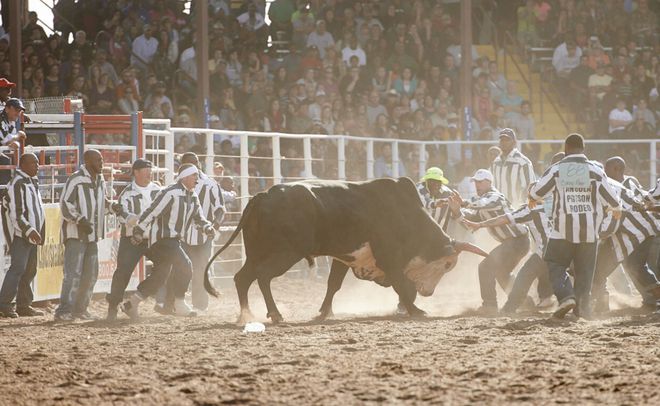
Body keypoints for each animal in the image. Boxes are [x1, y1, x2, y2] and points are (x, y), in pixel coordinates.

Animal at [204, 178, 488, 324]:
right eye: (448, 264)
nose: (429, 293)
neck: (404, 214)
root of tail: (262, 196)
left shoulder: (344, 258)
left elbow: (333, 285)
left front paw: (324, 312)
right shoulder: (388, 258)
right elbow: (400, 284)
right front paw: (416, 310)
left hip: (256, 252)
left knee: (242, 278)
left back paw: (246, 315)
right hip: (284, 253)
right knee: (262, 276)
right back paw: (275, 314)